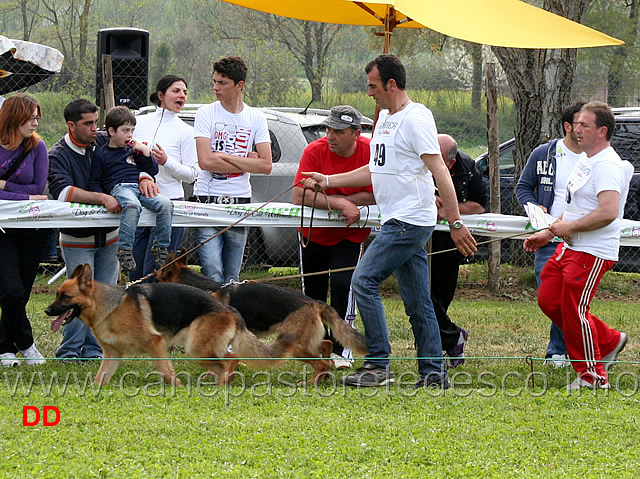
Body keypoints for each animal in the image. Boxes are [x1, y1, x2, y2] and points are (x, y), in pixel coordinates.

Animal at [43, 264, 294, 388]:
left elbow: (165, 371)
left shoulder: (156, 343)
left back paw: (222, 383)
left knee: (231, 360)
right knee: (224, 364)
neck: (109, 307)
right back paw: (221, 381)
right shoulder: (112, 355)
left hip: (197, 349)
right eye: (57, 294)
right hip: (201, 351)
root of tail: (230, 310)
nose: (47, 311)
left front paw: (178, 387)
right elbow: (99, 379)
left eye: (65, 297)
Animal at [154, 251, 370, 382]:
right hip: (306, 341)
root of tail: (315, 302)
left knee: (322, 359)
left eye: (156, 278)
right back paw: (323, 375)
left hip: (296, 346)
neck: (207, 289)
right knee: (326, 344)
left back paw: (312, 382)